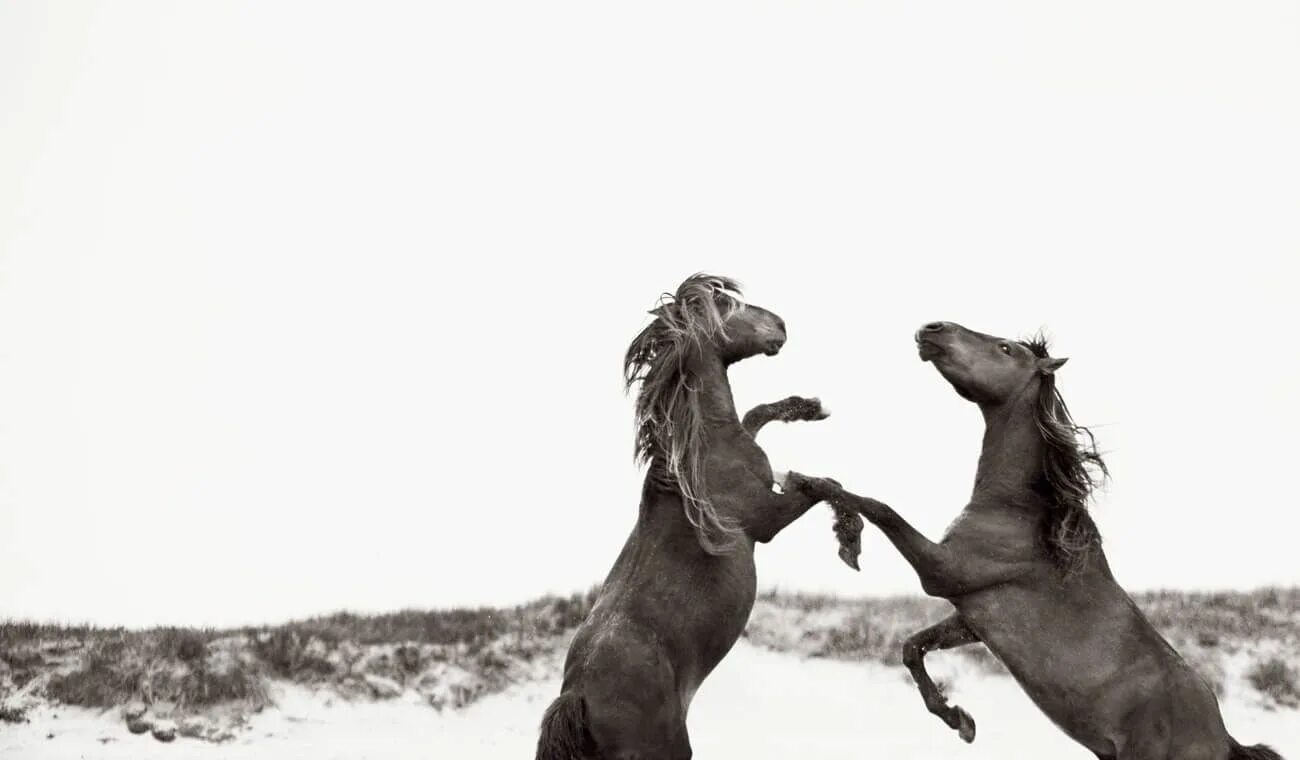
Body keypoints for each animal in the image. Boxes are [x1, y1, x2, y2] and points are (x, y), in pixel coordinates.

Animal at [533, 276, 847, 758]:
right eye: (728, 304)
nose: (781, 324)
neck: (699, 455)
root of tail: (577, 697)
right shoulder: (766, 519)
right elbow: (824, 486)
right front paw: (850, 537)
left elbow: (756, 414)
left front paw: (811, 406)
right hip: (670, 749)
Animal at [785, 318, 1284, 758]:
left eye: (1006, 348)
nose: (932, 328)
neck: (1020, 511)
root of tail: (1224, 740)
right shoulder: (972, 617)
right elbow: (912, 647)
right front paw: (959, 720)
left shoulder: (944, 570)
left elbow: (877, 506)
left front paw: (825, 507)